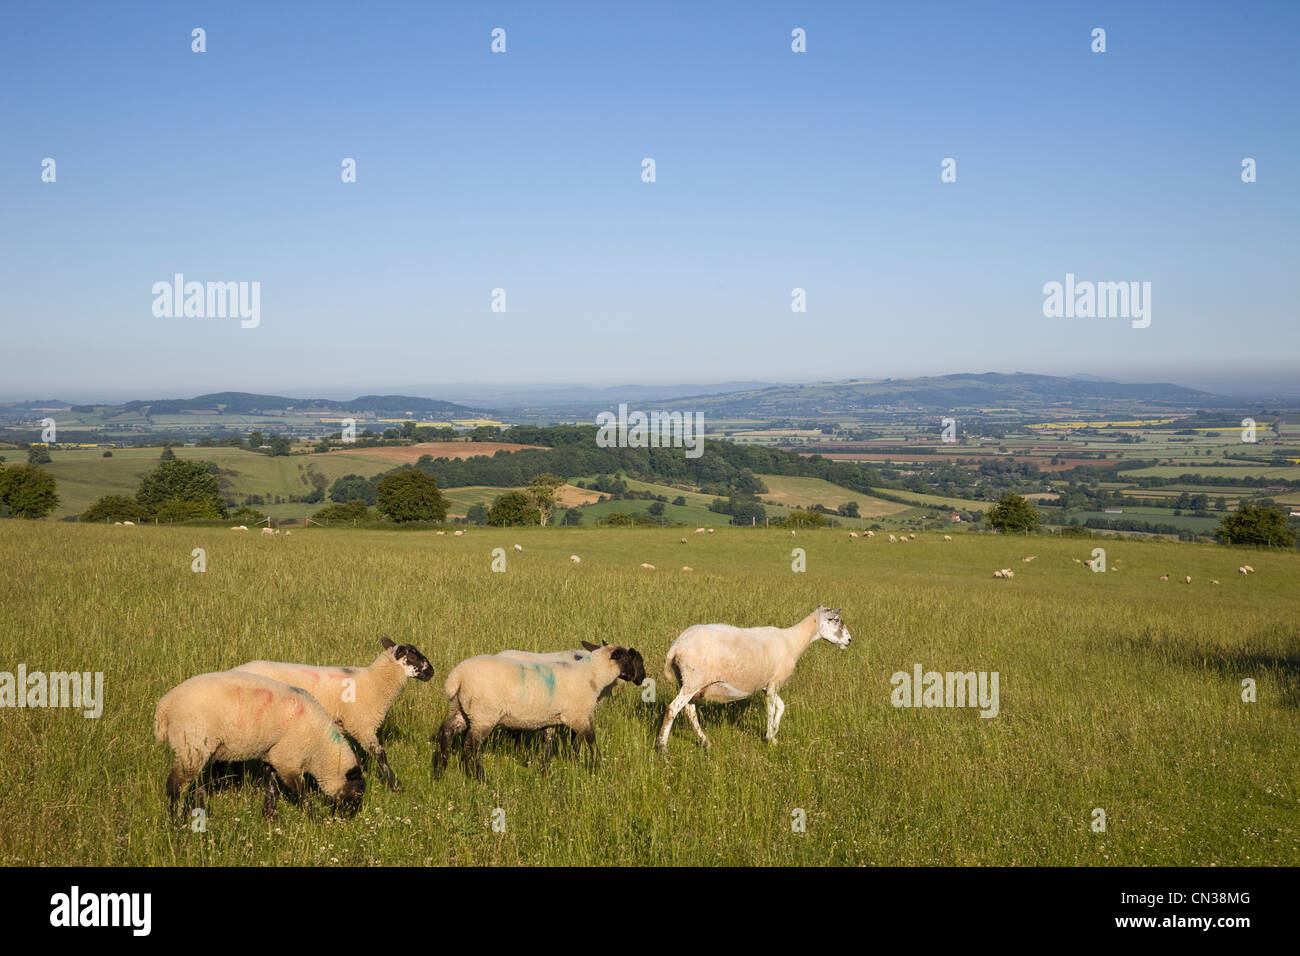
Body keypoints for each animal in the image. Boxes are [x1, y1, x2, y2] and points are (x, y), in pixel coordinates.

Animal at [154, 670, 364, 821]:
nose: (346, 819)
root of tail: (164, 707)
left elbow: (271, 786)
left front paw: (270, 817)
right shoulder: (288, 759)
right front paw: (315, 816)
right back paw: (175, 819)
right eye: (356, 793)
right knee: (174, 786)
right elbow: (300, 790)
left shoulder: (273, 754)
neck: (319, 748)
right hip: (191, 744)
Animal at [234, 637, 434, 792]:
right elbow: (380, 754)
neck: (374, 682)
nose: (432, 672)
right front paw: (396, 785)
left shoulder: (345, 726)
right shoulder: (363, 725)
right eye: (413, 656)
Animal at [435, 642, 646, 781]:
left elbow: (548, 746)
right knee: (471, 744)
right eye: (628, 658)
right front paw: (597, 765)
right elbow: (590, 741)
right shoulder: (579, 716)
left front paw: (545, 773)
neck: (593, 675)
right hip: (483, 713)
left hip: (462, 709)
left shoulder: (551, 720)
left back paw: (440, 771)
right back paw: (480, 777)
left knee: (447, 731)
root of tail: (457, 677)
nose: (640, 678)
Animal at [657, 606, 851, 751]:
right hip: (693, 681)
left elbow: (781, 707)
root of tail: (676, 646)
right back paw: (662, 746)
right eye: (836, 620)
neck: (792, 642)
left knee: (690, 712)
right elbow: (771, 710)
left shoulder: (767, 685)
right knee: (673, 709)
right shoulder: (774, 683)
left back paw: (705, 742)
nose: (849, 640)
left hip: (687, 682)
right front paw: (769, 737)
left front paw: (774, 733)